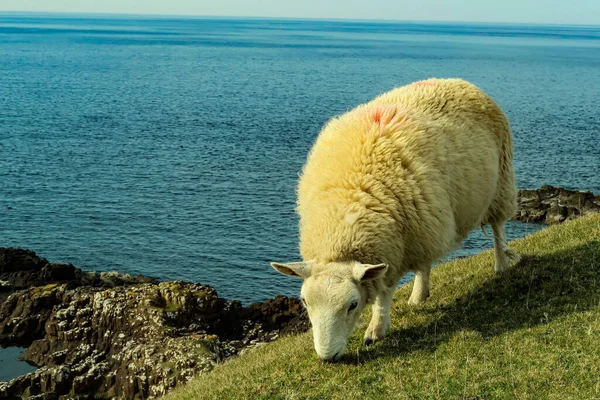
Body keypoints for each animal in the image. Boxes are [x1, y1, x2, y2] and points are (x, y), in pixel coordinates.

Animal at [272, 78, 520, 362]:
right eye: (305, 302)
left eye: (352, 305)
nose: (327, 357)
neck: (343, 224)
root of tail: (459, 81)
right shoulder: (401, 239)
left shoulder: (392, 251)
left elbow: (384, 292)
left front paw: (376, 330)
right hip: (425, 221)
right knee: (426, 260)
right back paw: (419, 295)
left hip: (500, 181)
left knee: (498, 227)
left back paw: (501, 264)